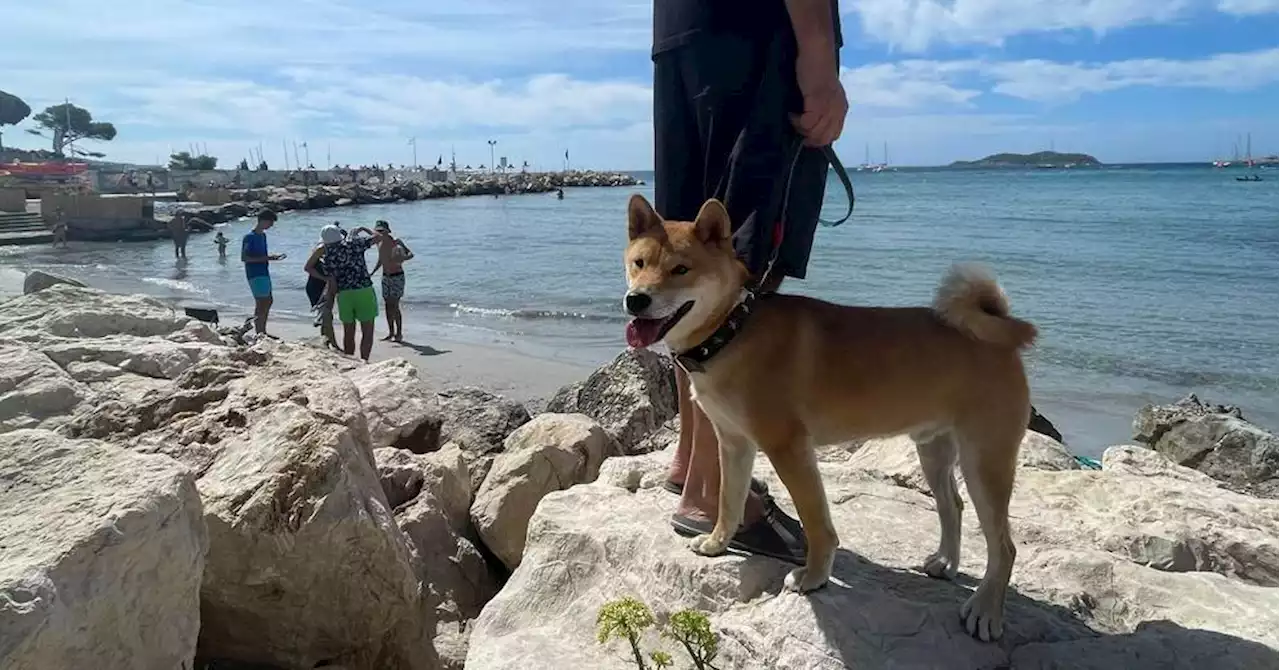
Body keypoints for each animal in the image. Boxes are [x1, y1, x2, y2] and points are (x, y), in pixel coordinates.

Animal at [622, 193, 1039, 645]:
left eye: (681, 269)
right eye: (639, 263)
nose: (636, 299)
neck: (733, 330)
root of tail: (999, 331)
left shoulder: (789, 448)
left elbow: (817, 522)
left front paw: (814, 577)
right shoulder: (733, 443)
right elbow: (729, 502)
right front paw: (717, 542)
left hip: (985, 462)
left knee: (1004, 546)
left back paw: (986, 610)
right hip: (934, 450)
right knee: (953, 506)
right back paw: (945, 563)